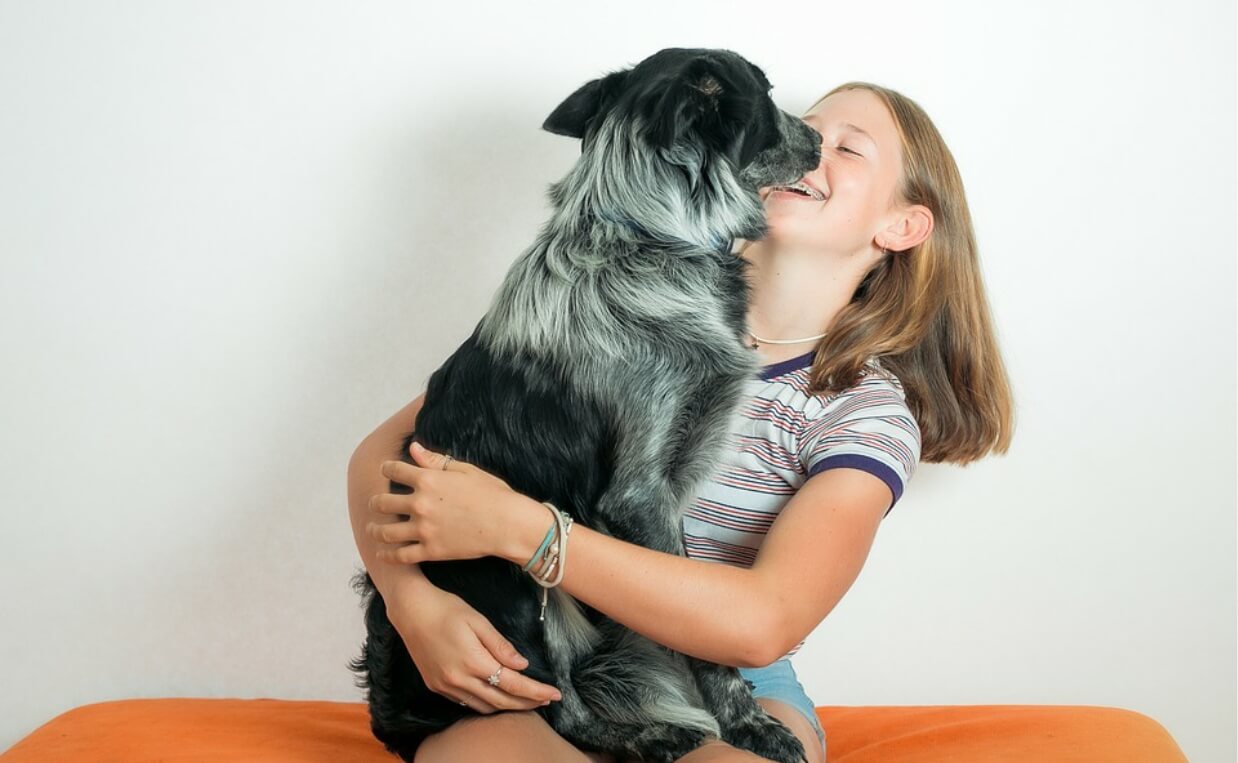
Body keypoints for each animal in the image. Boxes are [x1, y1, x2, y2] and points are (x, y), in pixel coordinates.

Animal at [351, 49, 822, 763]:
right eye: (765, 93)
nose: (819, 140)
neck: (648, 240)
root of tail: (392, 720)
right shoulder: (639, 493)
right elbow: (701, 644)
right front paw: (750, 725)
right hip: (511, 583)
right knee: (552, 707)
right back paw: (650, 736)